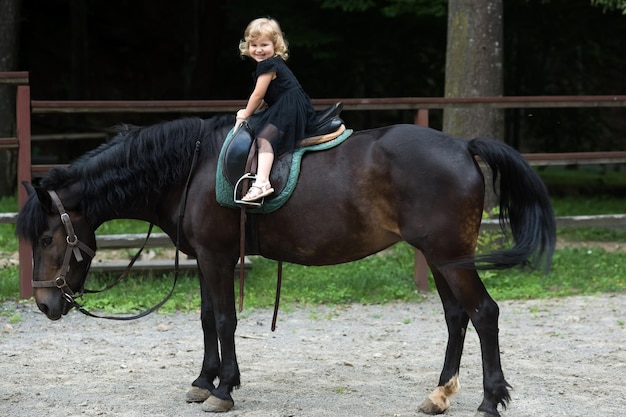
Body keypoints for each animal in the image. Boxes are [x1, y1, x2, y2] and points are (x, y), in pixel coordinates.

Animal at [14, 114, 552, 416]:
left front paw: (224, 389)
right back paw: (439, 395)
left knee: (484, 314)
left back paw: (490, 399)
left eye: (47, 237)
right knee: (457, 318)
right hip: (441, 257)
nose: (44, 303)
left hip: (448, 257)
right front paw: (203, 381)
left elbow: (225, 320)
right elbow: (206, 319)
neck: (190, 169)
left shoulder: (217, 257)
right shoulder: (206, 258)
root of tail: (463, 146)